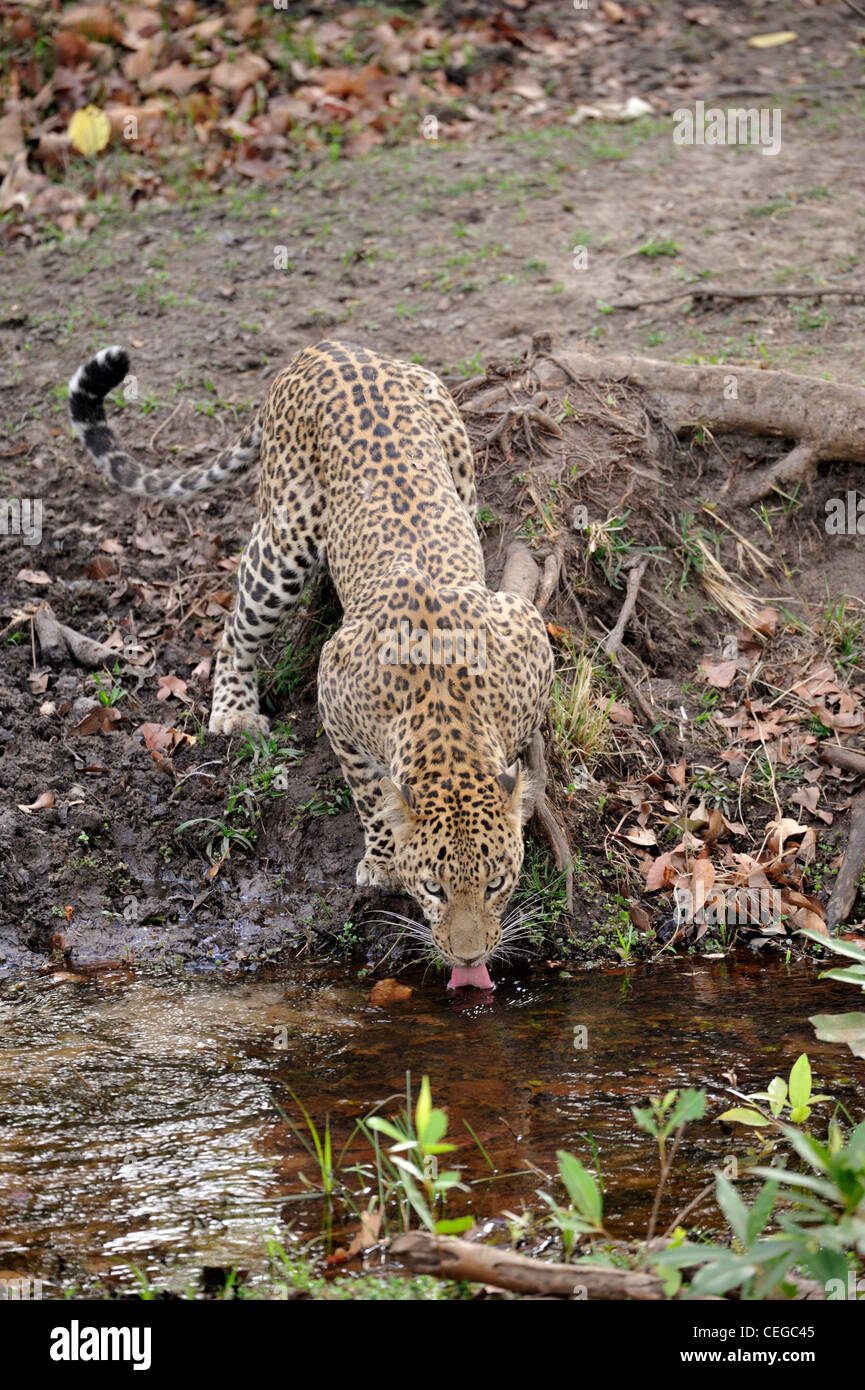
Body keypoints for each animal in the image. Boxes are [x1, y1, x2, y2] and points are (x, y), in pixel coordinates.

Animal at [67, 340, 556, 984]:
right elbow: (371, 794)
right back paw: (234, 712)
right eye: (434, 888)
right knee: (236, 628)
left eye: (497, 882)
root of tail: (327, 348)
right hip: (283, 538)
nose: (470, 957)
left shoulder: (526, 631)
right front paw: (382, 860)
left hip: (454, 453)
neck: (447, 716)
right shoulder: (336, 686)